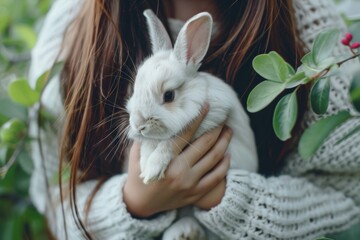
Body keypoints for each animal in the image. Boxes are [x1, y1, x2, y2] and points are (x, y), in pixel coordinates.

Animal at [125, 9, 258, 240]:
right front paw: (144, 164)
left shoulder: (209, 119)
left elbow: (169, 142)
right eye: (135, 89)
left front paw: (152, 169)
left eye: (169, 95)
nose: (139, 125)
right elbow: (149, 145)